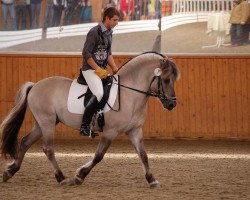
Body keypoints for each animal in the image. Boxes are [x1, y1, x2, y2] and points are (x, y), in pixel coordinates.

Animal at [0, 51, 180, 188]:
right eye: (165, 80)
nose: (172, 104)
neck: (129, 94)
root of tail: (35, 85)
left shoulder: (134, 131)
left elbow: (143, 155)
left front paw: (152, 180)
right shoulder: (110, 132)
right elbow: (99, 156)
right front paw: (80, 175)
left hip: (42, 123)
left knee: (25, 142)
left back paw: (10, 172)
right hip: (47, 122)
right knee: (48, 148)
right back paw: (61, 177)